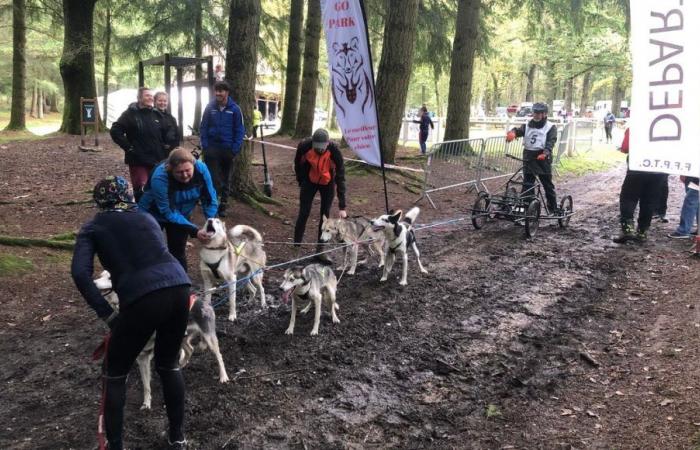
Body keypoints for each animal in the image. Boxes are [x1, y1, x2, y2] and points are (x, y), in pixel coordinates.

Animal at [93, 268, 228, 410]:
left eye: (109, 277)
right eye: (100, 276)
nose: (94, 282)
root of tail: (205, 303)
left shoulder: (144, 356)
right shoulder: (139, 357)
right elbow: (145, 384)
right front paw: (146, 403)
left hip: (209, 339)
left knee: (219, 356)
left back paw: (223, 376)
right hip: (181, 339)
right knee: (190, 350)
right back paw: (181, 365)